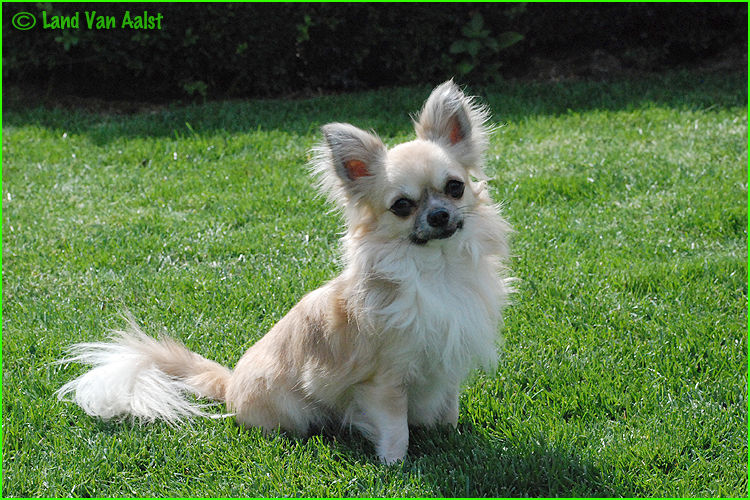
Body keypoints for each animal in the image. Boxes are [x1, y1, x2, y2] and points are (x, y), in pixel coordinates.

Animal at [57, 80, 513, 464]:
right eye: (402, 206)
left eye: (455, 187)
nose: (439, 215)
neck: (436, 269)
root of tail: (230, 385)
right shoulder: (384, 381)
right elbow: (395, 428)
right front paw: (395, 465)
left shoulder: (447, 362)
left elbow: (448, 408)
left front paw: (452, 438)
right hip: (290, 411)